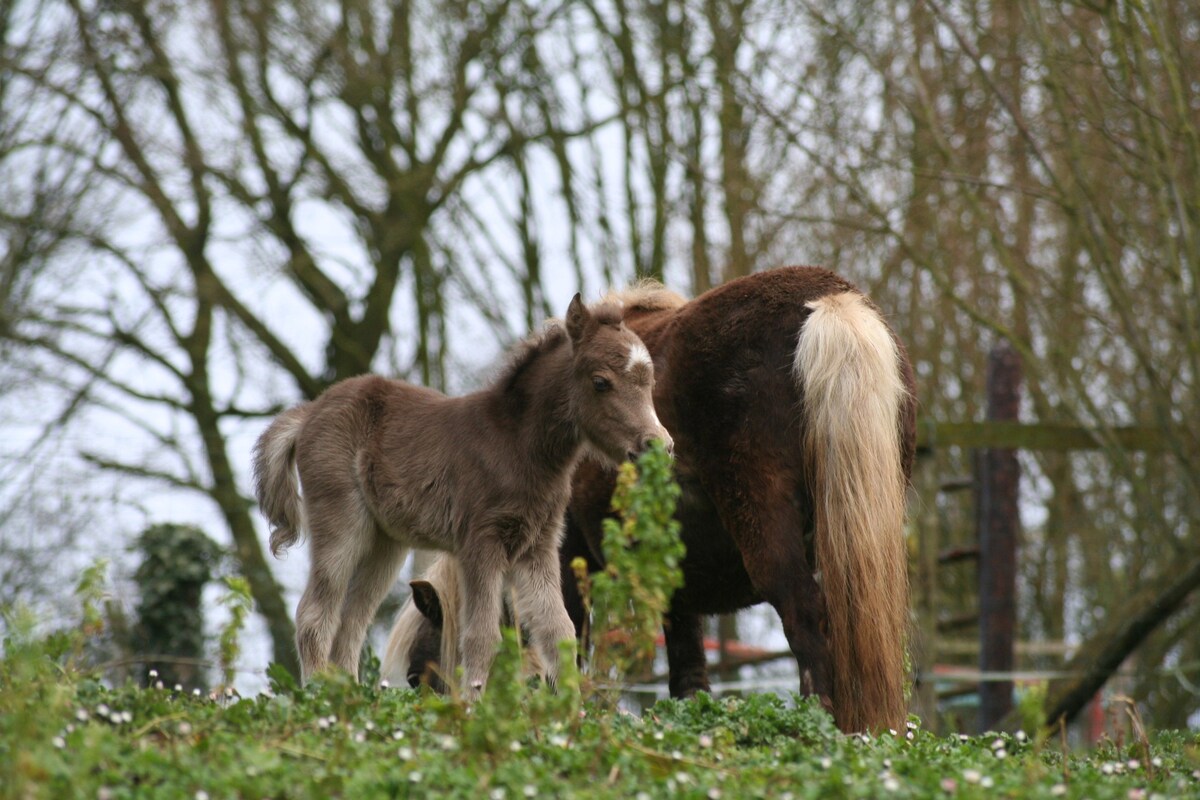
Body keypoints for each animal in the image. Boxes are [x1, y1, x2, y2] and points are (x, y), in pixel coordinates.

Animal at [254, 293, 672, 695]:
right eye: (601, 382)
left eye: (650, 382)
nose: (659, 446)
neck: (516, 445)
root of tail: (310, 412)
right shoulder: (480, 544)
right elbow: (481, 637)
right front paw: (474, 707)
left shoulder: (536, 547)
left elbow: (558, 632)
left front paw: (572, 713)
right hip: (342, 522)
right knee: (315, 615)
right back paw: (318, 700)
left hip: (385, 542)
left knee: (353, 621)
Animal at [384, 268, 916, 734]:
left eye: (417, 677)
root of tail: (828, 300)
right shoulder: (677, 583)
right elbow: (689, 676)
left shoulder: (562, 559)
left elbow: (568, 643)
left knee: (804, 611)